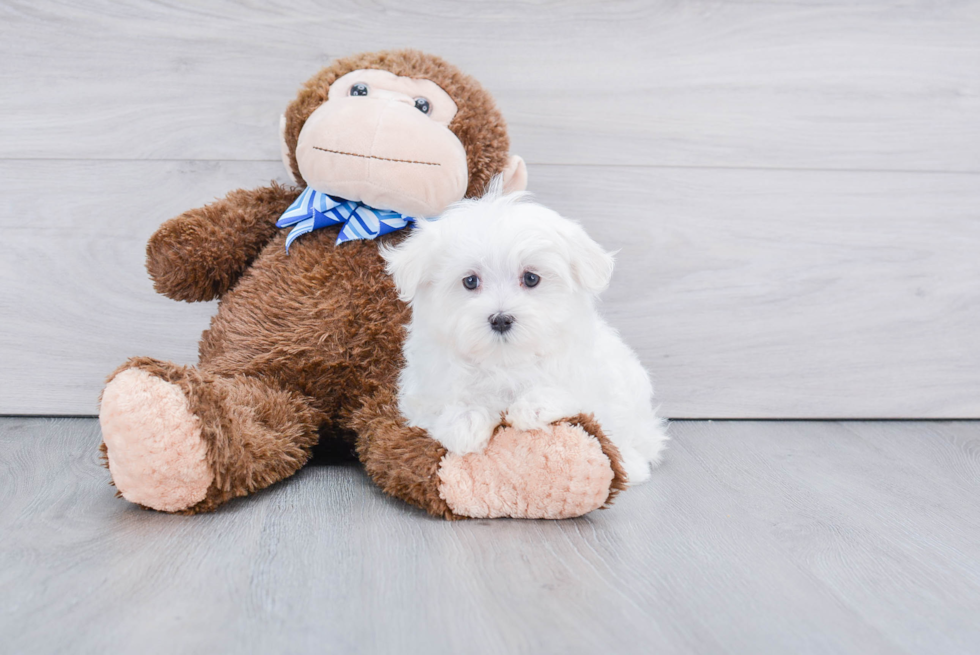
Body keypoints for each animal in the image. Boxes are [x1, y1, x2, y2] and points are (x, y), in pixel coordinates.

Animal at [378, 187, 668, 484]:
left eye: (531, 278)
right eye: (470, 281)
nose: (501, 319)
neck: (504, 361)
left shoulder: (589, 378)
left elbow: (571, 393)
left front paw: (533, 407)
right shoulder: (424, 394)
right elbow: (445, 406)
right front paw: (465, 423)